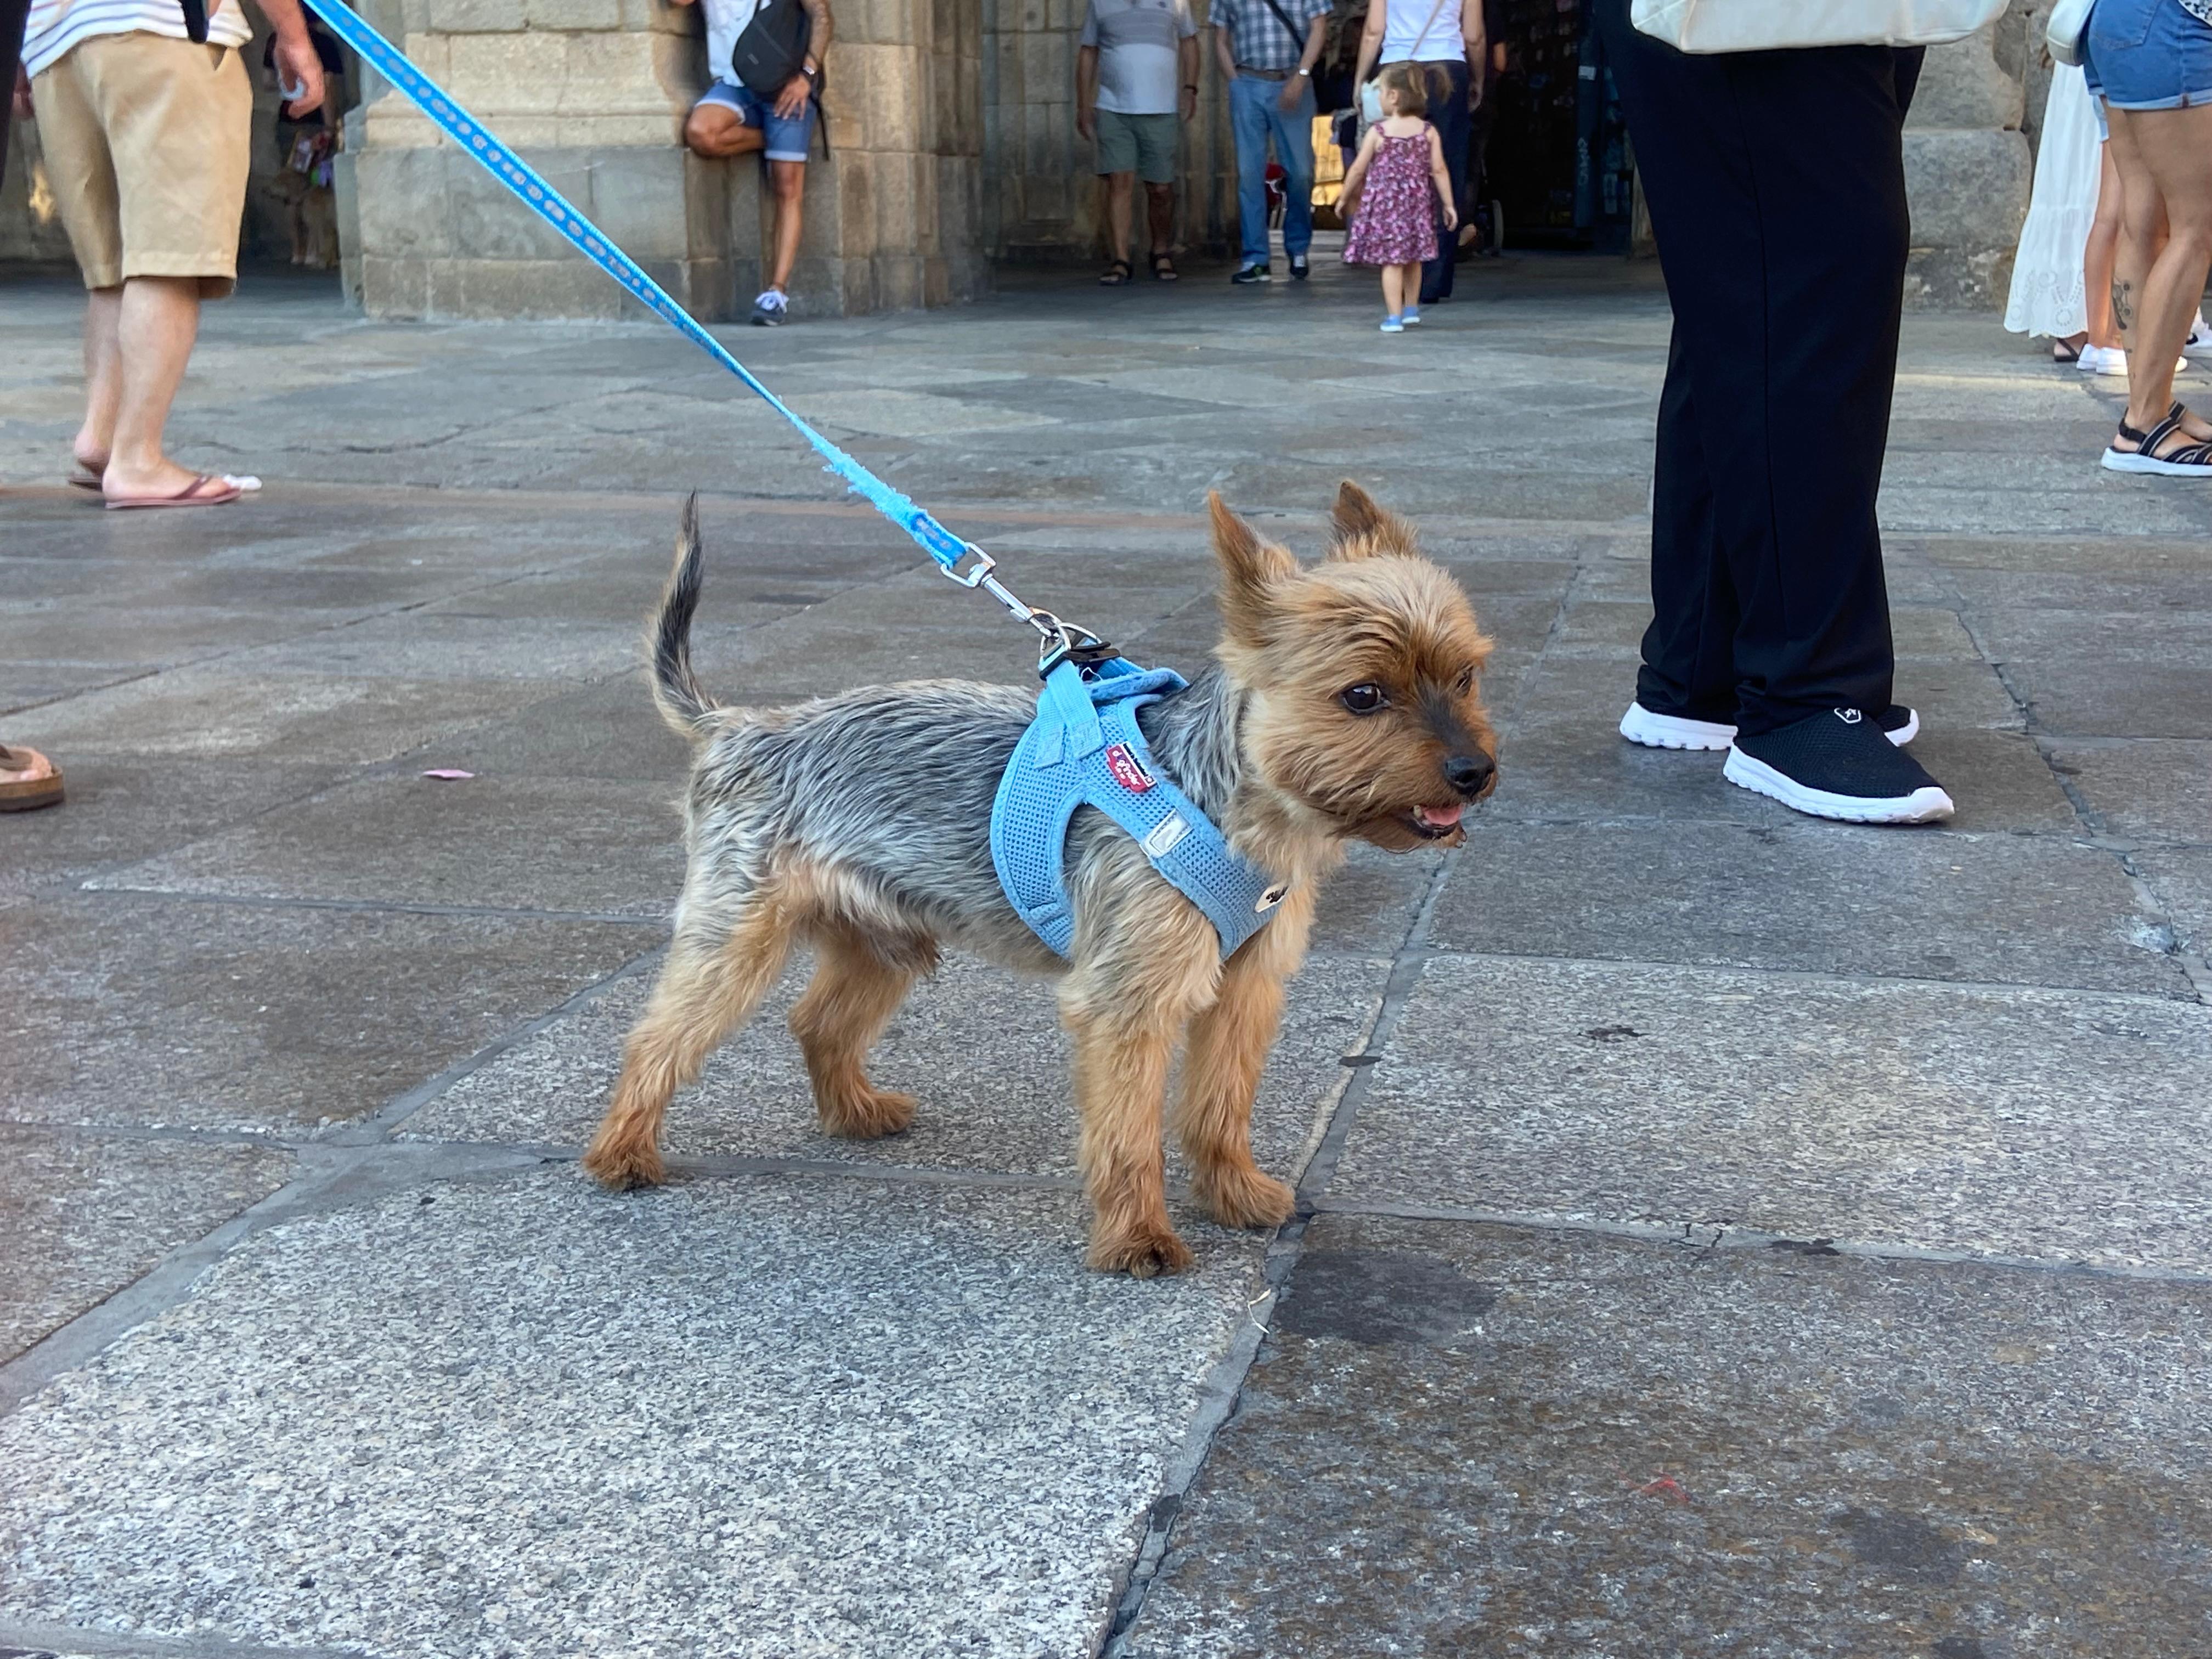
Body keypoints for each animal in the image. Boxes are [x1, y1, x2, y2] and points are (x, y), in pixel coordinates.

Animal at [579, 487, 1495, 1283]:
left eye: (1465, 677)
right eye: (1362, 696)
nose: (1474, 772)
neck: (1236, 806)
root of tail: (737, 728)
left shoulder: (1245, 988)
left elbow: (1219, 1106)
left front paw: (1235, 1195)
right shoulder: (1128, 1001)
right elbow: (1128, 1131)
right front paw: (1138, 1239)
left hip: (885, 937)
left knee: (819, 1019)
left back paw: (856, 1113)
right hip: (737, 933)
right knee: (658, 1035)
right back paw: (622, 1153)